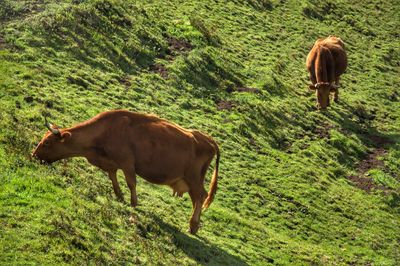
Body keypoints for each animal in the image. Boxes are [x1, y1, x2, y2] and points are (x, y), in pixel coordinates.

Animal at [31, 109, 220, 234]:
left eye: (47, 142)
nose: (34, 155)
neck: (106, 131)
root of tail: (208, 139)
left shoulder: (128, 164)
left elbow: (131, 183)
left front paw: (133, 203)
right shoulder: (111, 163)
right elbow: (113, 178)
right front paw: (119, 197)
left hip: (194, 179)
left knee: (200, 197)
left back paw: (193, 226)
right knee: (198, 198)